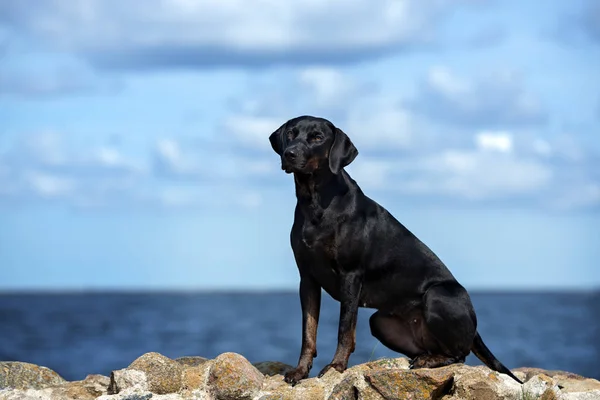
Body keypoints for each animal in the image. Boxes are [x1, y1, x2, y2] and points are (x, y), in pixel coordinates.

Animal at [270, 115, 524, 384]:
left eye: (317, 137)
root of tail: (474, 328)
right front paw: (300, 371)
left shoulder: (350, 275)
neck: (315, 200)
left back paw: (429, 360)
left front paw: (336, 366)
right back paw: (425, 357)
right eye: (291, 134)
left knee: (460, 354)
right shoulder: (307, 278)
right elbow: (308, 332)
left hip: (437, 296)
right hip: (381, 322)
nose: (289, 154)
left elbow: (344, 329)